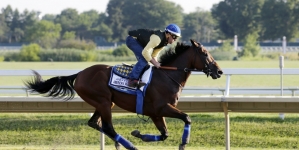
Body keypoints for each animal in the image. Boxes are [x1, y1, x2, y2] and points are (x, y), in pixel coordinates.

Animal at [25, 39, 223, 149]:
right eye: (205, 53)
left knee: (95, 123)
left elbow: (165, 134)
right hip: (104, 102)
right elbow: (187, 117)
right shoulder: (162, 108)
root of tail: (79, 74)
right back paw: (130, 145)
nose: (219, 71)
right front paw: (183, 142)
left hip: (104, 103)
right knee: (107, 127)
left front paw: (139, 134)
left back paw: (120, 142)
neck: (168, 75)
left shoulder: (155, 113)